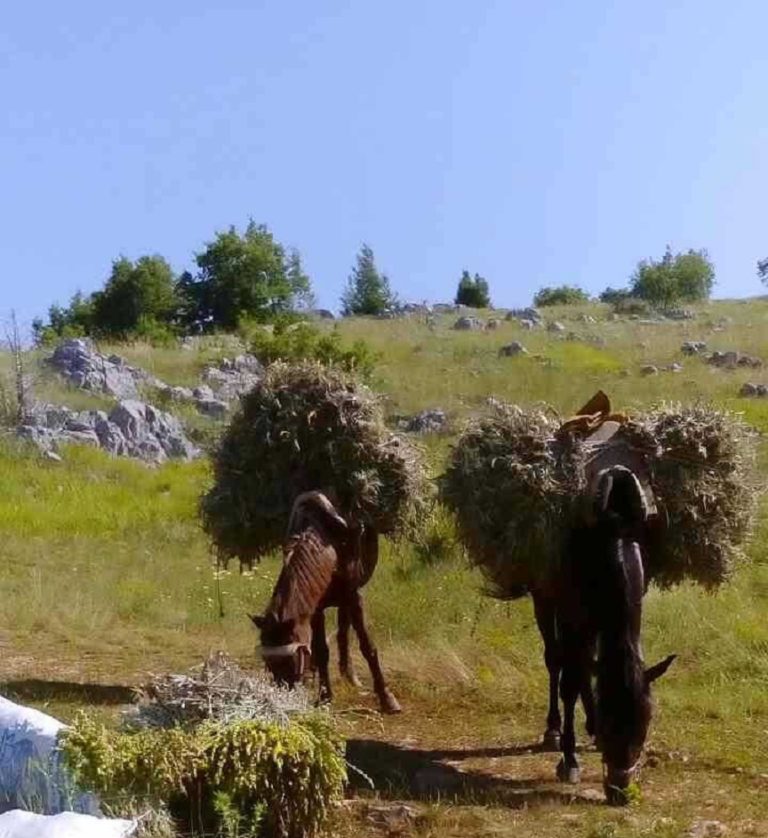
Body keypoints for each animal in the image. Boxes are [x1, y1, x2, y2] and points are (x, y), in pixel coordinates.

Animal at [250, 492, 402, 716]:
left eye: (290, 660)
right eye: (268, 662)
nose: (283, 700)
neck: (331, 546)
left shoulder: (353, 595)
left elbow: (368, 647)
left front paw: (387, 698)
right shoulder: (315, 608)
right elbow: (321, 651)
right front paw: (325, 697)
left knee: (344, 629)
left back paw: (350, 675)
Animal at [556, 462, 676, 804]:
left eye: (645, 724)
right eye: (612, 725)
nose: (621, 792)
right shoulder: (572, 619)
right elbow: (569, 685)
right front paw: (569, 760)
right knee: (555, 663)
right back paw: (552, 730)